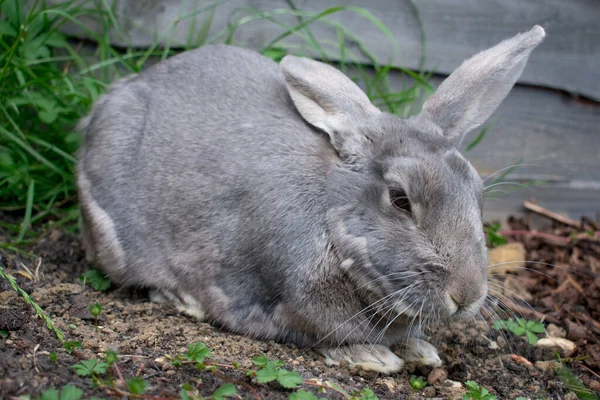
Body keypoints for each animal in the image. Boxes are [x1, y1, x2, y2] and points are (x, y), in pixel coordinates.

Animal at [79, 26, 548, 374]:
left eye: (476, 193)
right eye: (400, 199)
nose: (467, 295)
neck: (331, 216)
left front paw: (421, 351)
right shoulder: (280, 303)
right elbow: (320, 336)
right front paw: (374, 357)